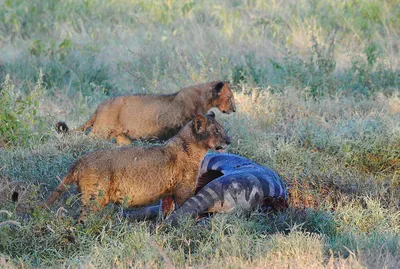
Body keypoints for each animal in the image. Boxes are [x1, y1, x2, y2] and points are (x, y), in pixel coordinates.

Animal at [57, 80, 236, 144]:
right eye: (230, 98)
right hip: (101, 130)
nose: (234, 109)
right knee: (86, 139)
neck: (204, 97)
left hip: (122, 138)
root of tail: (100, 105)